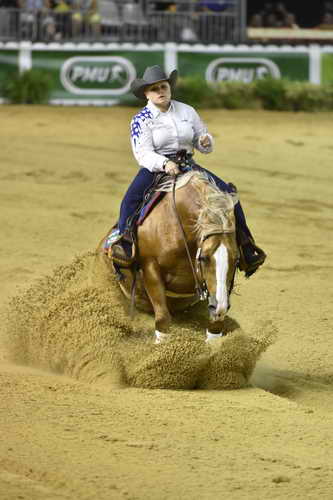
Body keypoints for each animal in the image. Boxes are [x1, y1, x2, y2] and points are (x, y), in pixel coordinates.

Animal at [98, 172, 239, 344]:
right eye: (204, 258)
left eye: (236, 260)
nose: (219, 307)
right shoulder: (150, 268)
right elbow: (163, 321)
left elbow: (215, 328)